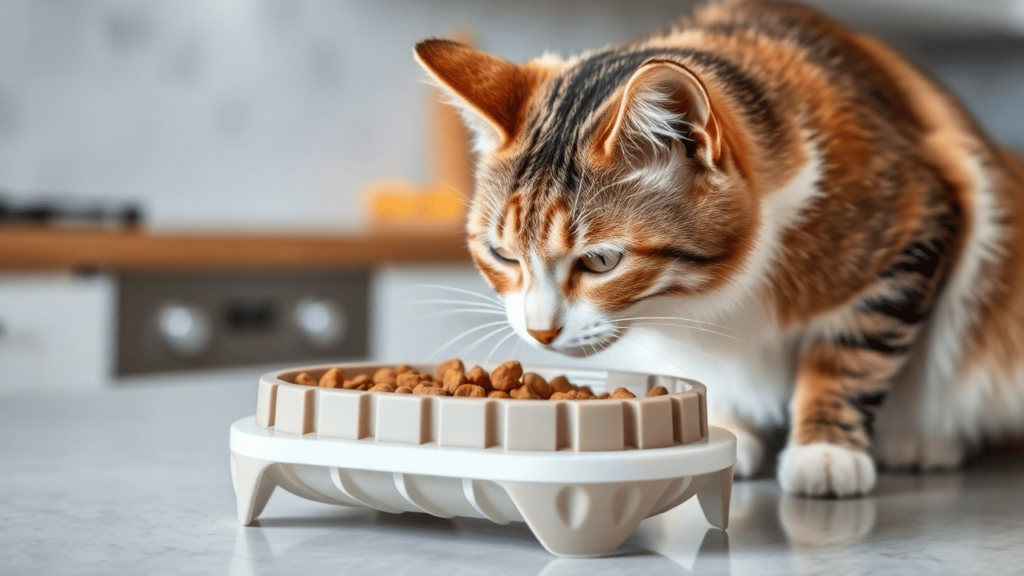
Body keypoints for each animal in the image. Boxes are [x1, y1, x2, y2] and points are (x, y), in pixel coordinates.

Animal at [409, 0, 1024, 494]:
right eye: (503, 255)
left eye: (601, 261)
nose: (540, 333)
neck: (702, 293)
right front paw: (723, 424)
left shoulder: (915, 222)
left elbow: (852, 353)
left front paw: (825, 450)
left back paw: (919, 438)